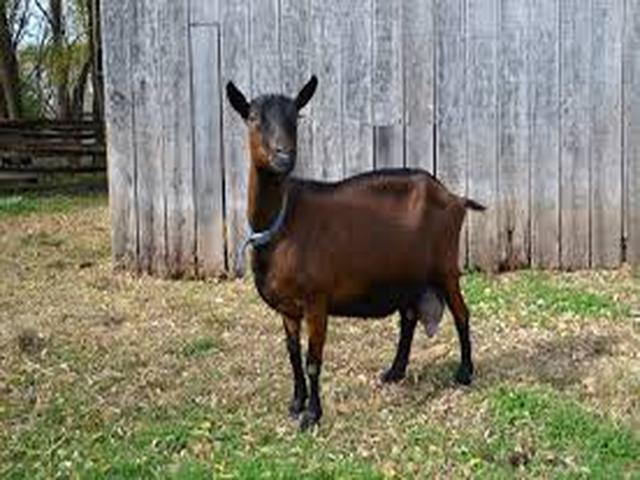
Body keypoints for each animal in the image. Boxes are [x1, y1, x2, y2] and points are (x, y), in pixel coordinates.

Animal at [226, 76, 486, 430]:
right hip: (406, 273)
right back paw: (395, 371)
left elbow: (312, 360)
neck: (283, 223)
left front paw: (311, 415)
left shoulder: (316, 300)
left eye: (296, 117)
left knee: (461, 313)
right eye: (253, 118)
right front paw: (295, 404)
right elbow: (292, 355)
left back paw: (464, 372)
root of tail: (455, 198)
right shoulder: (288, 309)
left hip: (445, 266)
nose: (284, 156)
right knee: (408, 318)